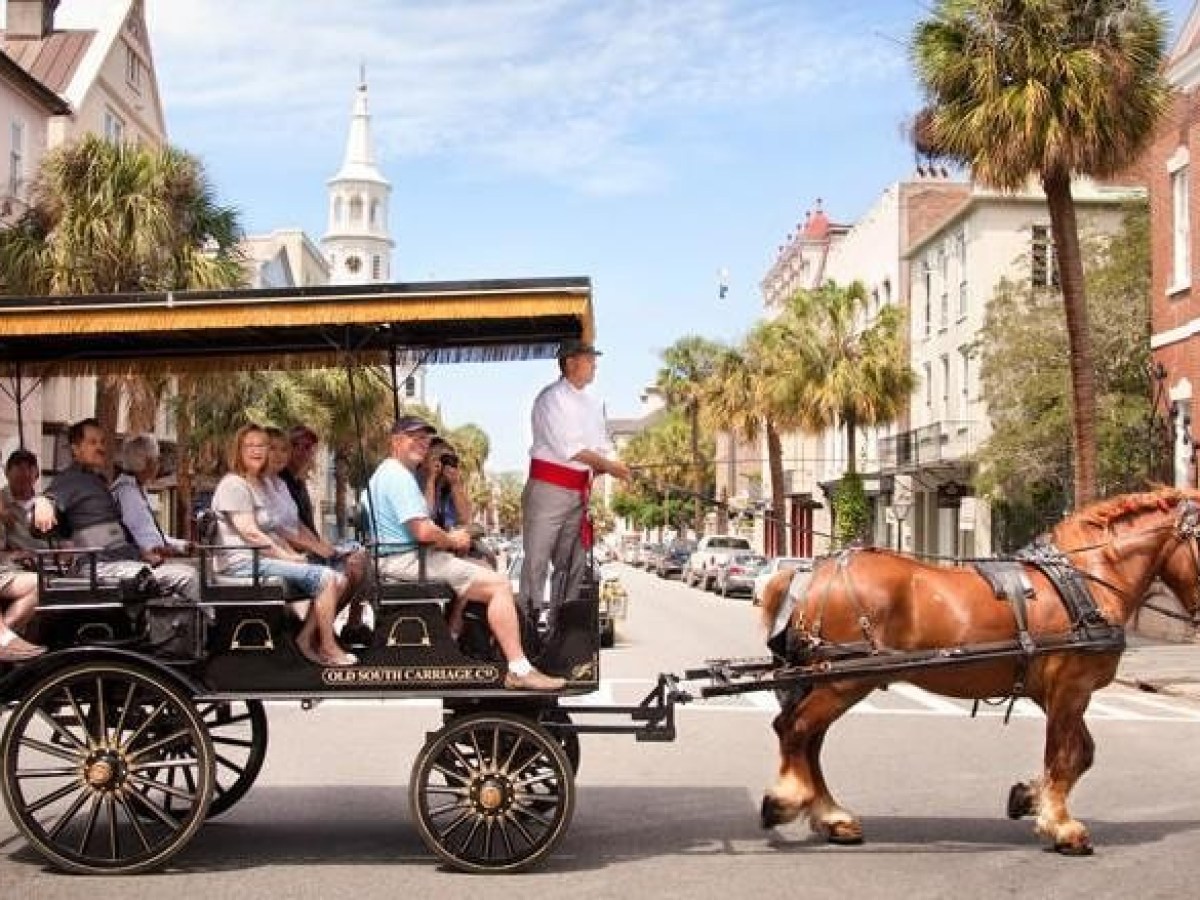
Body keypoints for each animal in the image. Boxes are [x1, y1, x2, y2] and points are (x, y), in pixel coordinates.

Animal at [757, 488, 1200, 855]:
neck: (1086, 579)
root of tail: (810, 575)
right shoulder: (1071, 688)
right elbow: (1064, 754)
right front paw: (1061, 827)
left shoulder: (1056, 692)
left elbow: (1082, 754)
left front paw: (1028, 796)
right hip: (844, 681)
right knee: (796, 730)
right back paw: (787, 801)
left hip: (830, 679)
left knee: (808, 739)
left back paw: (832, 817)